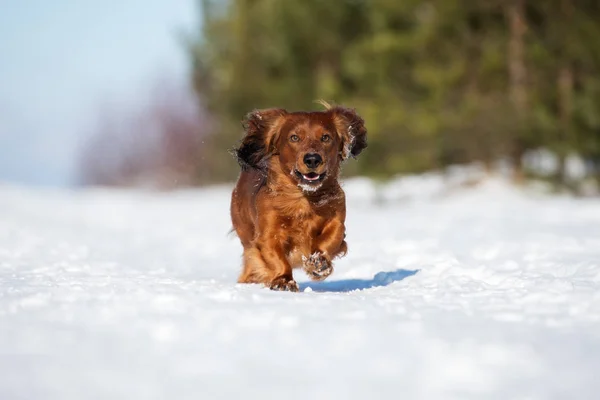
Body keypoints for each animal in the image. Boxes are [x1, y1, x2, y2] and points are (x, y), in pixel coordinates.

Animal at [230, 103, 368, 290]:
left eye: (325, 137)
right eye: (294, 138)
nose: (312, 159)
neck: (303, 198)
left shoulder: (337, 219)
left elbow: (331, 238)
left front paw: (319, 263)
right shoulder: (268, 234)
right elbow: (277, 258)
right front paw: (283, 280)